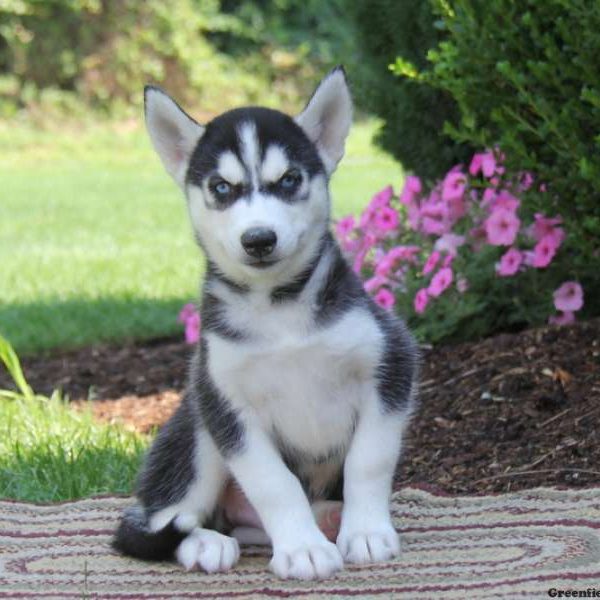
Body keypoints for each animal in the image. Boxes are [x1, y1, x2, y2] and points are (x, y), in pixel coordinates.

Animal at [115, 68, 420, 580]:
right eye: (222, 187)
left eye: (290, 179)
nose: (259, 239)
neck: (279, 310)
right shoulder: (225, 404)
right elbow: (273, 483)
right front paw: (303, 549)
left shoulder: (389, 364)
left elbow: (368, 460)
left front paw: (365, 533)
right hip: (194, 432)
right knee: (161, 525)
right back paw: (205, 544)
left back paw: (330, 517)